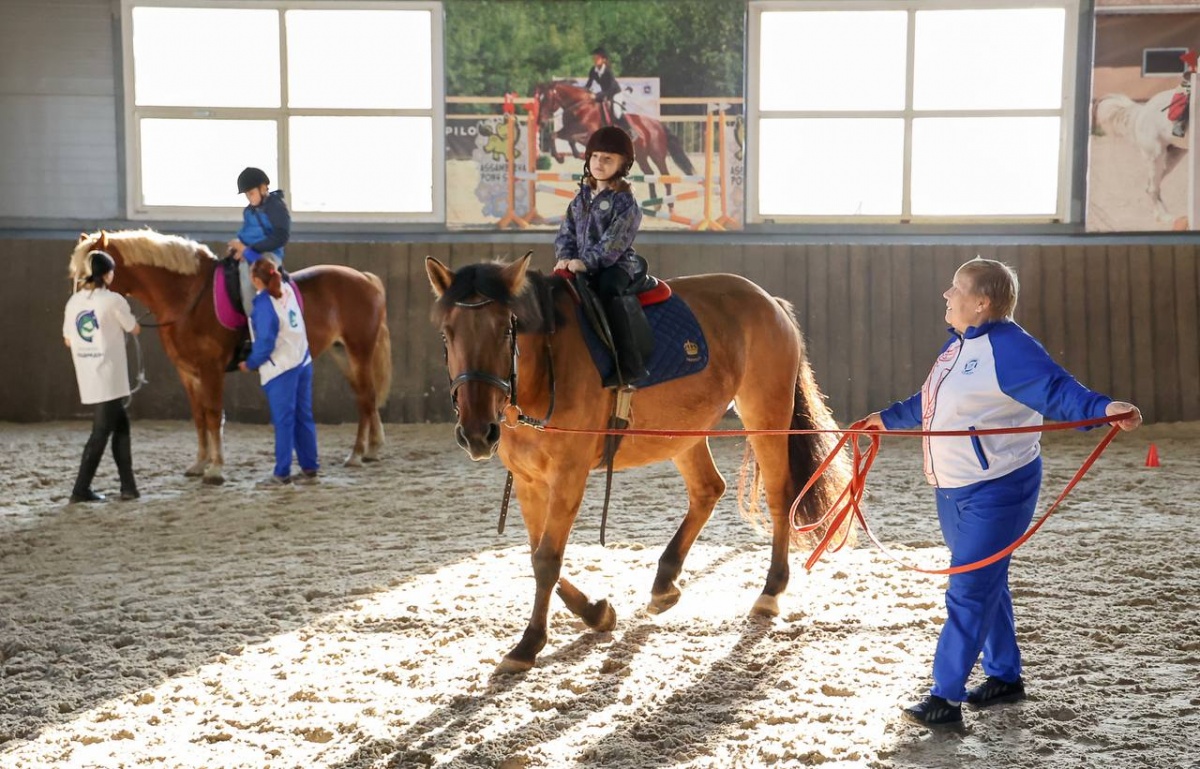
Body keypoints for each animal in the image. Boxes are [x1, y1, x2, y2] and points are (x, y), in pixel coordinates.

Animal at [70, 227, 391, 482]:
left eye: (91, 275)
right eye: (76, 275)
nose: (76, 317)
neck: (187, 298)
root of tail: (364, 278)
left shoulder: (211, 369)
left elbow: (213, 415)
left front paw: (215, 469)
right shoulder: (187, 371)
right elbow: (199, 417)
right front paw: (199, 464)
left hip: (359, 352)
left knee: (365, 398)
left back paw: (357, 454)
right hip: (342, 354)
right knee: (366, 397)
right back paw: (372, 450)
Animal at [427, 253, 849, 671]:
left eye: (504, 331)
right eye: (446, 334)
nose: (477, 433)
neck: (546, 368)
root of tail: (769, 302)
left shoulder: (568, 475)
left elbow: (547, 558)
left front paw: (528, 644)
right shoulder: (528, 479)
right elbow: (537, 553)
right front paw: (596, 613)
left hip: (765, 413)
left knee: (779, 495)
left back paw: (770, 591)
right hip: (684, 432)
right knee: (708, 489)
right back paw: (664, 583)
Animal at [532, 80, 696, 209]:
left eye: (546, 99)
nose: (540, 122)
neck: (580, 108)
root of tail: (657, 124)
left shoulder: (586, 134)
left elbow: (572, 139)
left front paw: (571, 155)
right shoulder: (567, 130)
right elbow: (555, 136)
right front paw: (561, 157)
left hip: (657, 154)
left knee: (665, 176)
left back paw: (669, 205)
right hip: (641, 156)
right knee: (649, 173)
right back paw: (655, 204)